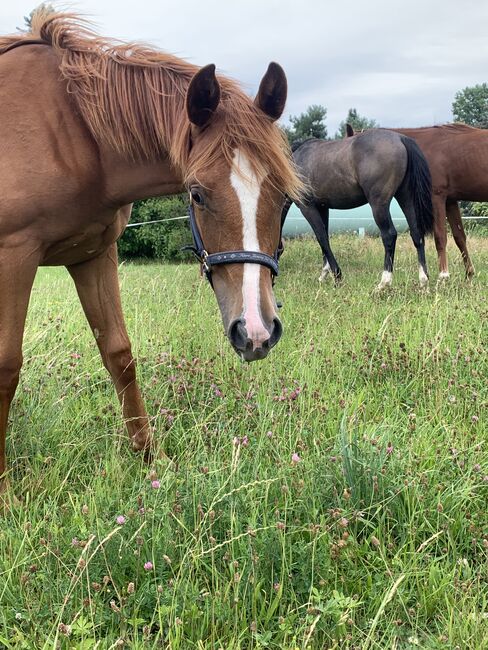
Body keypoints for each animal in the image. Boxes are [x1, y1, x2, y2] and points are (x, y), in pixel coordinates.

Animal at [0, 8, 304, 496]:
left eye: (283, 197)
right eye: (197, 194)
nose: (256, 332)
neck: (74, 133)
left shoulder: (92, 255)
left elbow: (119, 355)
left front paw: (151, 459)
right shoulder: (15, 255)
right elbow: (7, 367)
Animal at [282, 129, 434, 286]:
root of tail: (400, 138)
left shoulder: (307, 207)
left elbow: (321, 237)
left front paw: (337, 276)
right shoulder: (323, 207)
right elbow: (325, 237)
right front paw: (325, 274)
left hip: (379, 205)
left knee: (389, 235)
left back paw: (384, 282)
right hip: (406, 198)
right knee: (416, 233)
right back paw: (423, 280)